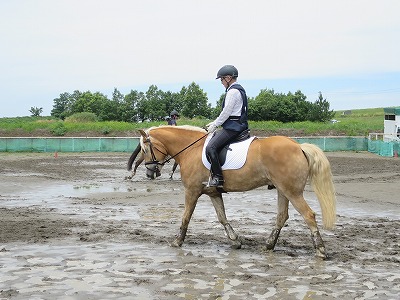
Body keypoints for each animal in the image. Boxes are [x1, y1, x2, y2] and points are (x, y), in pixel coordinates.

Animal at [136, 124, 336, 258]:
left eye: (145, 149)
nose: (149, 172)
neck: (191, 148)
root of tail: (299, 147)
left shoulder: (192, 191)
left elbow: (186, 217)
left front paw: (177, 241)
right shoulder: (213, 192)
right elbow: (222, 217)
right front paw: (235, 241)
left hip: (292, 191)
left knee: (308, 215)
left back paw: (320, 250)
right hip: (283, 190)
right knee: (282, 217)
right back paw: (268, 246)